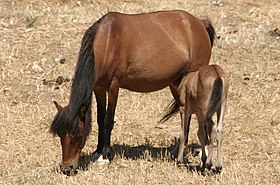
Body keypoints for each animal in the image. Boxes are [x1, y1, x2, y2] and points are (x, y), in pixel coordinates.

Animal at [49, 10, 215, 175]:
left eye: (77, 134)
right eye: (60, 135)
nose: (67, 168)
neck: (107, 42)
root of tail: (200, 23)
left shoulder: (113, 86)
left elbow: (108, 121)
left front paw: (105, 156)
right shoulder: (99, 88)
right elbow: (100, 119)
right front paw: (97, 152)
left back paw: (203, 153)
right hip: (177, 84)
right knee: (185, 113)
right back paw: (178, 151)